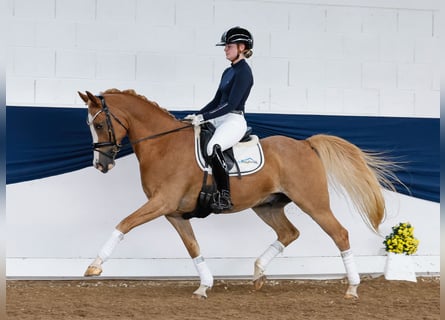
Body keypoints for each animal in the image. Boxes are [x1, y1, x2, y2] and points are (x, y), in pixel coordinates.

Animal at [78, 89, 394, 298]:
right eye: (90, 125)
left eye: (100, 124)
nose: (101, 165)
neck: (163, 146)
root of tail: (305, 144)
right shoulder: (173, 212)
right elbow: (192, 247)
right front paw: (204, 285)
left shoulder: (162, 203)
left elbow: (123, 224)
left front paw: (94, 267)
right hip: (267, 206)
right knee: (289, 233)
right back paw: (258, 273)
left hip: (313, 203)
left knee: (339, 234)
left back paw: (352, 287)